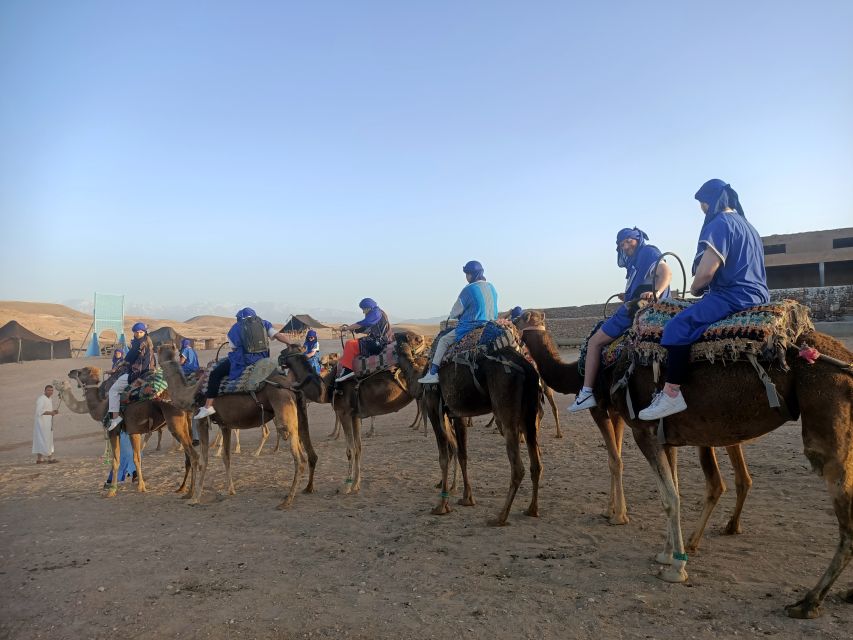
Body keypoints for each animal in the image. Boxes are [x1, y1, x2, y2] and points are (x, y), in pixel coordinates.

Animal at [57, 368, 196, 498]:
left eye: (82, 371)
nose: (71, 372)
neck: (101, 407)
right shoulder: (133, 431)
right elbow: (137, 457)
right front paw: (140, 484)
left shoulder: (114, 431)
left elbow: (117, 460)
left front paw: (113, 490)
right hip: (185, 423)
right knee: (189, 455)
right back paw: (182, 488)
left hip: (175, 423)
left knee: (192, 454)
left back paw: (191, 492)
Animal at [156, 344, 316, 510]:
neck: (190, 393)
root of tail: (291, 386)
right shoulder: (225, 425)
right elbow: (226, 457)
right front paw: (230, 490)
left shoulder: (201, 421)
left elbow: (203, 460)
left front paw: (195, 498)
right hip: (297, 413)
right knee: (305, 449)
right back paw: (303, 490)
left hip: (283, 410)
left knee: (299, 458)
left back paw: (287, 501)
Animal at [278, 332, 426, 492]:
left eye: (289, 348)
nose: (279, 356)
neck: (327, 388)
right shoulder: (355, 415)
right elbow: (358, 448)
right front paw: (356, 483)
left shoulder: (344, 413)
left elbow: (350, 450)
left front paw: (347, 485)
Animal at [396, 328, 544, 528]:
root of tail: (528, 368)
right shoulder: (458, 414)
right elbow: (462, 454)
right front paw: (467, 497)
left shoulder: (434, 408)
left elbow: (443, 457)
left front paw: (441, 505)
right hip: (529, 414)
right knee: (536, 463)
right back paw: (532, 510)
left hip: (506, 410)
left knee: (518, 467)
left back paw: (500, 517)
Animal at [512, 310, 852, 620]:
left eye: (518, 319)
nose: (506, 325)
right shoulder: (664, 435)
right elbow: (673, 490)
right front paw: (666, 553)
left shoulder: (642, 429)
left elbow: (666, 496)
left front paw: (676, 566)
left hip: (823, 418)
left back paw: (808, 601)